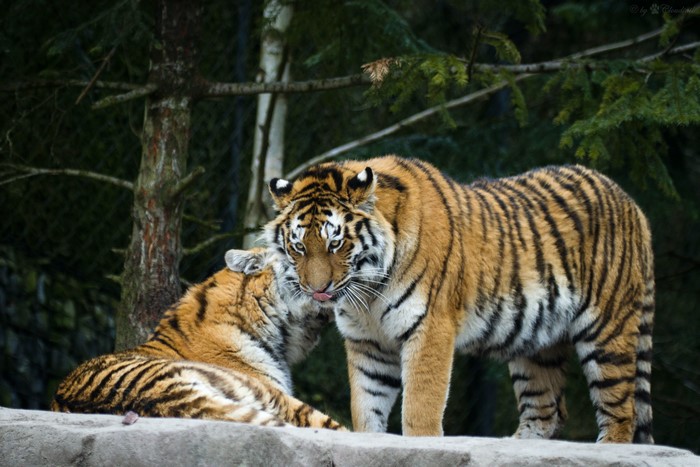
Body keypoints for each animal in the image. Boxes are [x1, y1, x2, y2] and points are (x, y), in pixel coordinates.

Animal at [264, 155, 654, 443]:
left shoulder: (430, 329)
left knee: (622, 411)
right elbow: (366, 405)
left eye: (335, 243)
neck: (368, 291)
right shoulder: (368, 343)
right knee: (547, 410)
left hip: (607, 329)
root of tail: (631, 203)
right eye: (298, 247)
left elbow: (420, 406)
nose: (317, 289)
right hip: (536, 341)